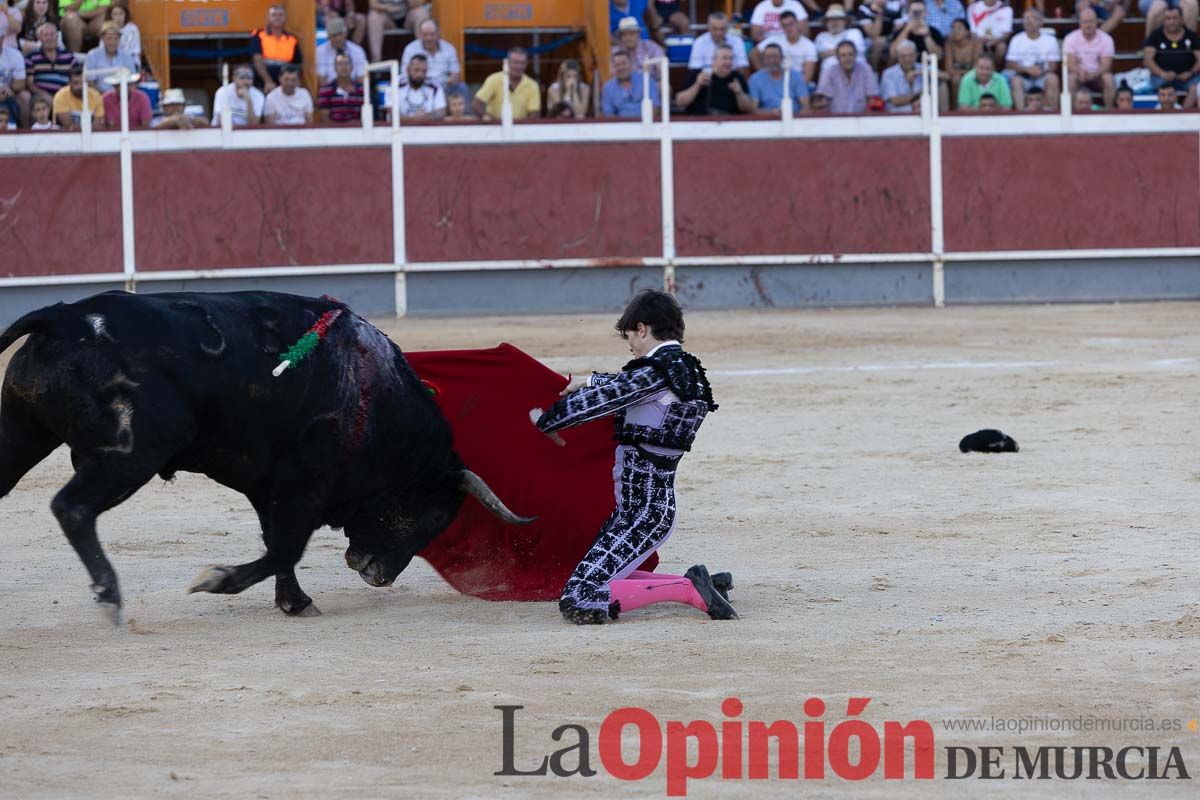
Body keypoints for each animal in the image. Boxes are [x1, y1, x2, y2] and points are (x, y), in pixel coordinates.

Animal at [0, 293, 530, 618]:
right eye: (435, 514)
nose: (377, 576)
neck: (373, 397)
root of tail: (63, 317)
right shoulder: (303, 484)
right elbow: (285, 546)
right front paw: (218, 580)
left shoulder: (267, 484)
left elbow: (277, 543)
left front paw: (293, 602)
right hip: (132, 454)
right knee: (73, 507)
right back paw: (109, 596)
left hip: (23, 434)